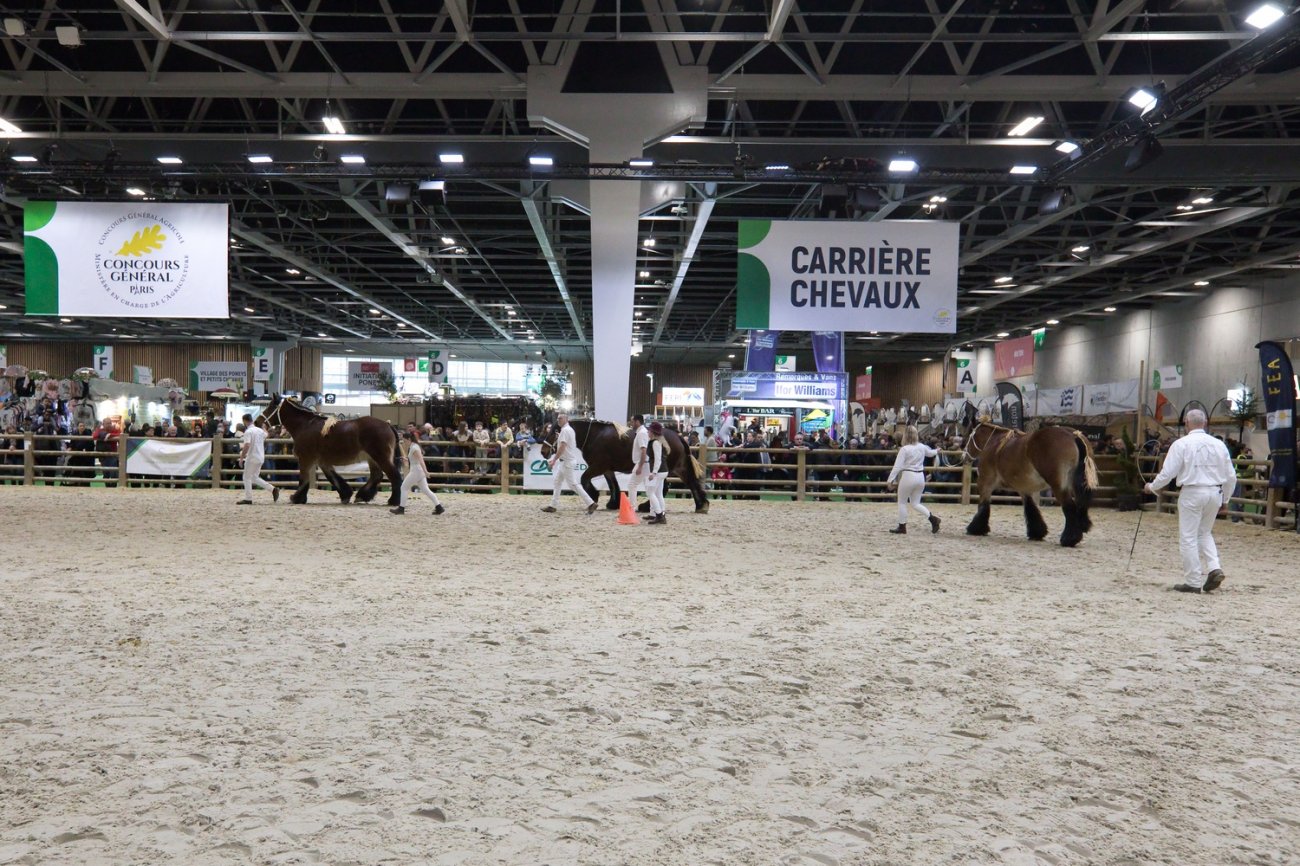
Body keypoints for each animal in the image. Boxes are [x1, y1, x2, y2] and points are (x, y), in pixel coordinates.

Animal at [262, 395, 403, 506]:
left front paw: (297, 498)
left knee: (395, 477)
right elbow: (333, 478)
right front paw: (345, 495)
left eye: (270, 406)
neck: (305, 425)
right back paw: (361, 496)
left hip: (381, 457)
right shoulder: (322, 461)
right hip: (372, 458)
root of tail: (387, 424)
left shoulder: (305, 459)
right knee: (376, 476)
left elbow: (304, 479)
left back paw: (393, 501)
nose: (259, 420)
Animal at [540, 419, 710, 513]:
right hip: (679, 468)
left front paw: (593, 496)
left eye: (553, 433)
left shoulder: (598, 467)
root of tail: (678, 436)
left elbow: (584, 479)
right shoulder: (607, 469)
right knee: (690, 483)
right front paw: (613, 503)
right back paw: (701, 505)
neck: (595, 436)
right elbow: (613, 485)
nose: (543, 451)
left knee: (673, 487)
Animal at [962, 420, 1098, 547]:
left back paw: (1069, 539)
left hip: (1059, 487)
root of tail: (1073, 435)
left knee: (1069, 507)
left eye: (967, 437)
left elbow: (983, 506)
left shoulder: (985, 484)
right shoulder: (1024, 488)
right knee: (1080, 504)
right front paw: (1037, 532)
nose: (963, 457)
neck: (994, 443)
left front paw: (976, 528)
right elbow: (1031, 508)